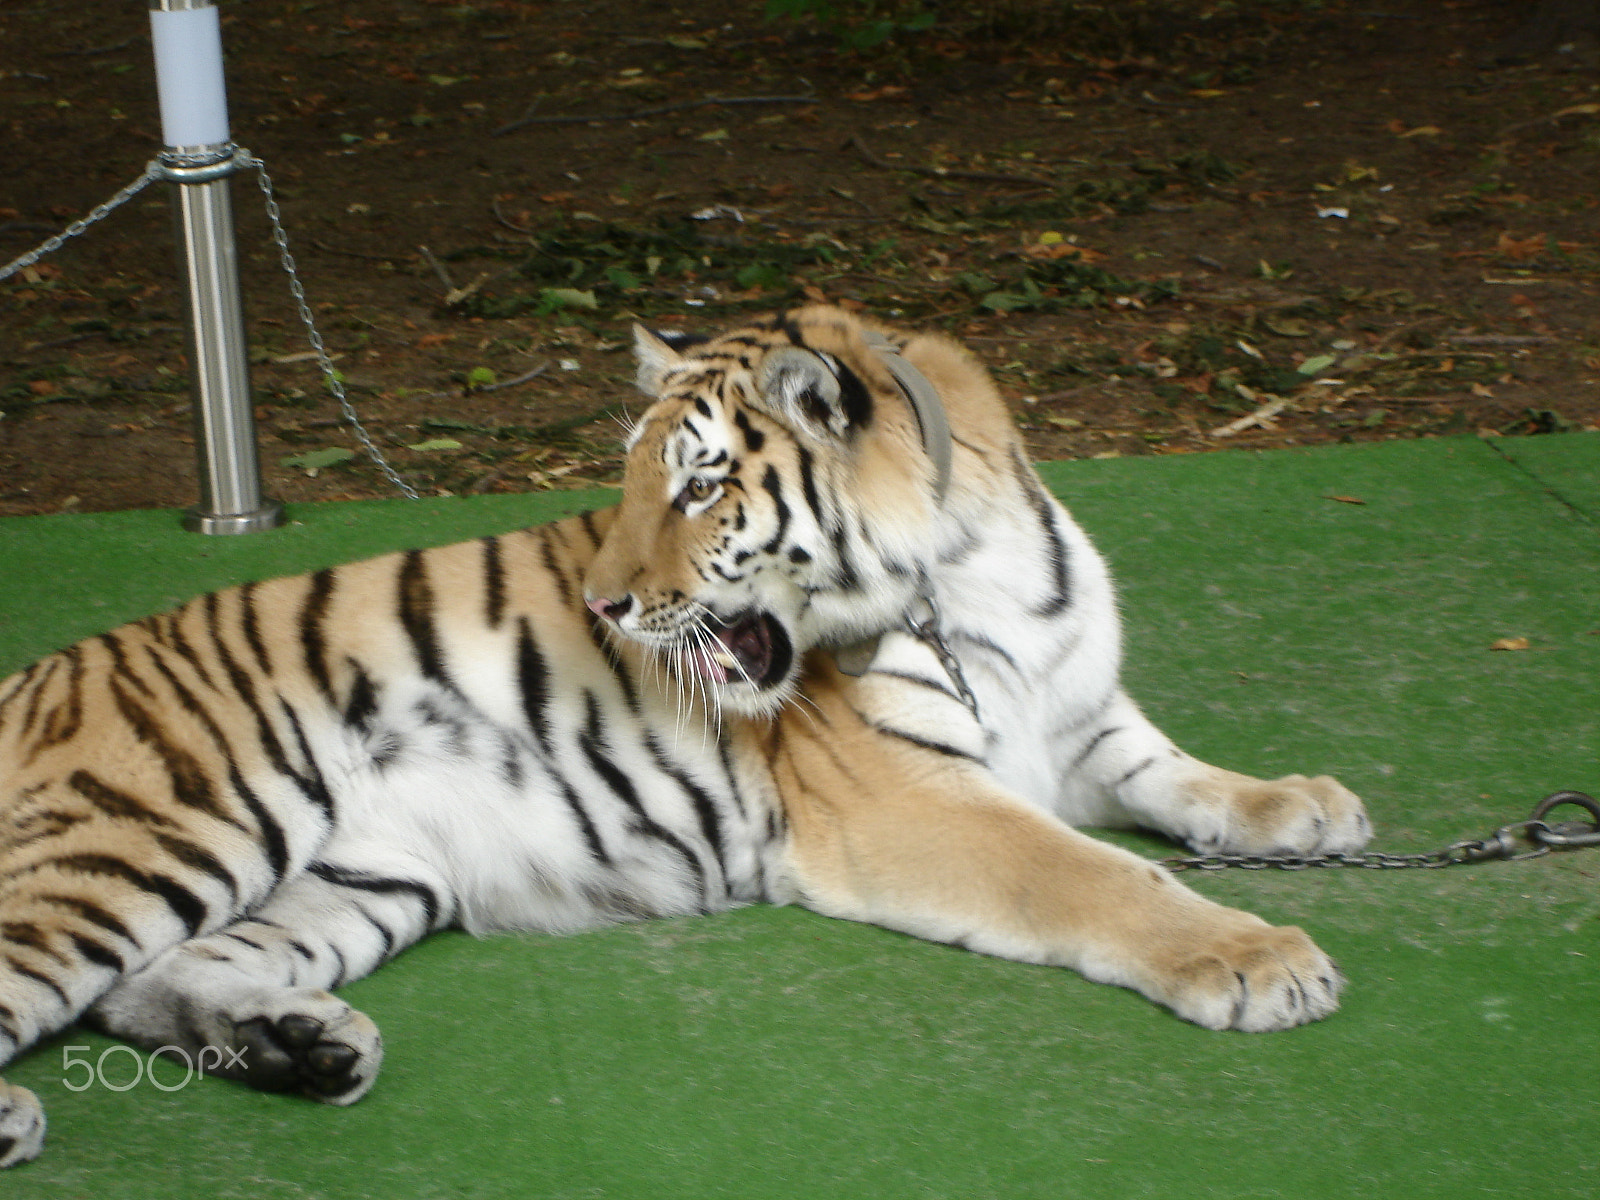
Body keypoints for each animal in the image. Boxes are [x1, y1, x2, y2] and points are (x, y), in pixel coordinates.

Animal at [0, 305, 1376, 1171]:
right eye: (630, 479)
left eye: (701, 485)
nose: (605, 603)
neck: (968, 560)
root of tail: (29, 673)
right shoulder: (905, 796)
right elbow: (1098, 875)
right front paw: (1257, 959)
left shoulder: (1080, 719)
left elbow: (1181, 778)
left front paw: (1305, 806)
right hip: (164, 828)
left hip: (361, 874)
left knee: (144, 986)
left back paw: (306, 1048)